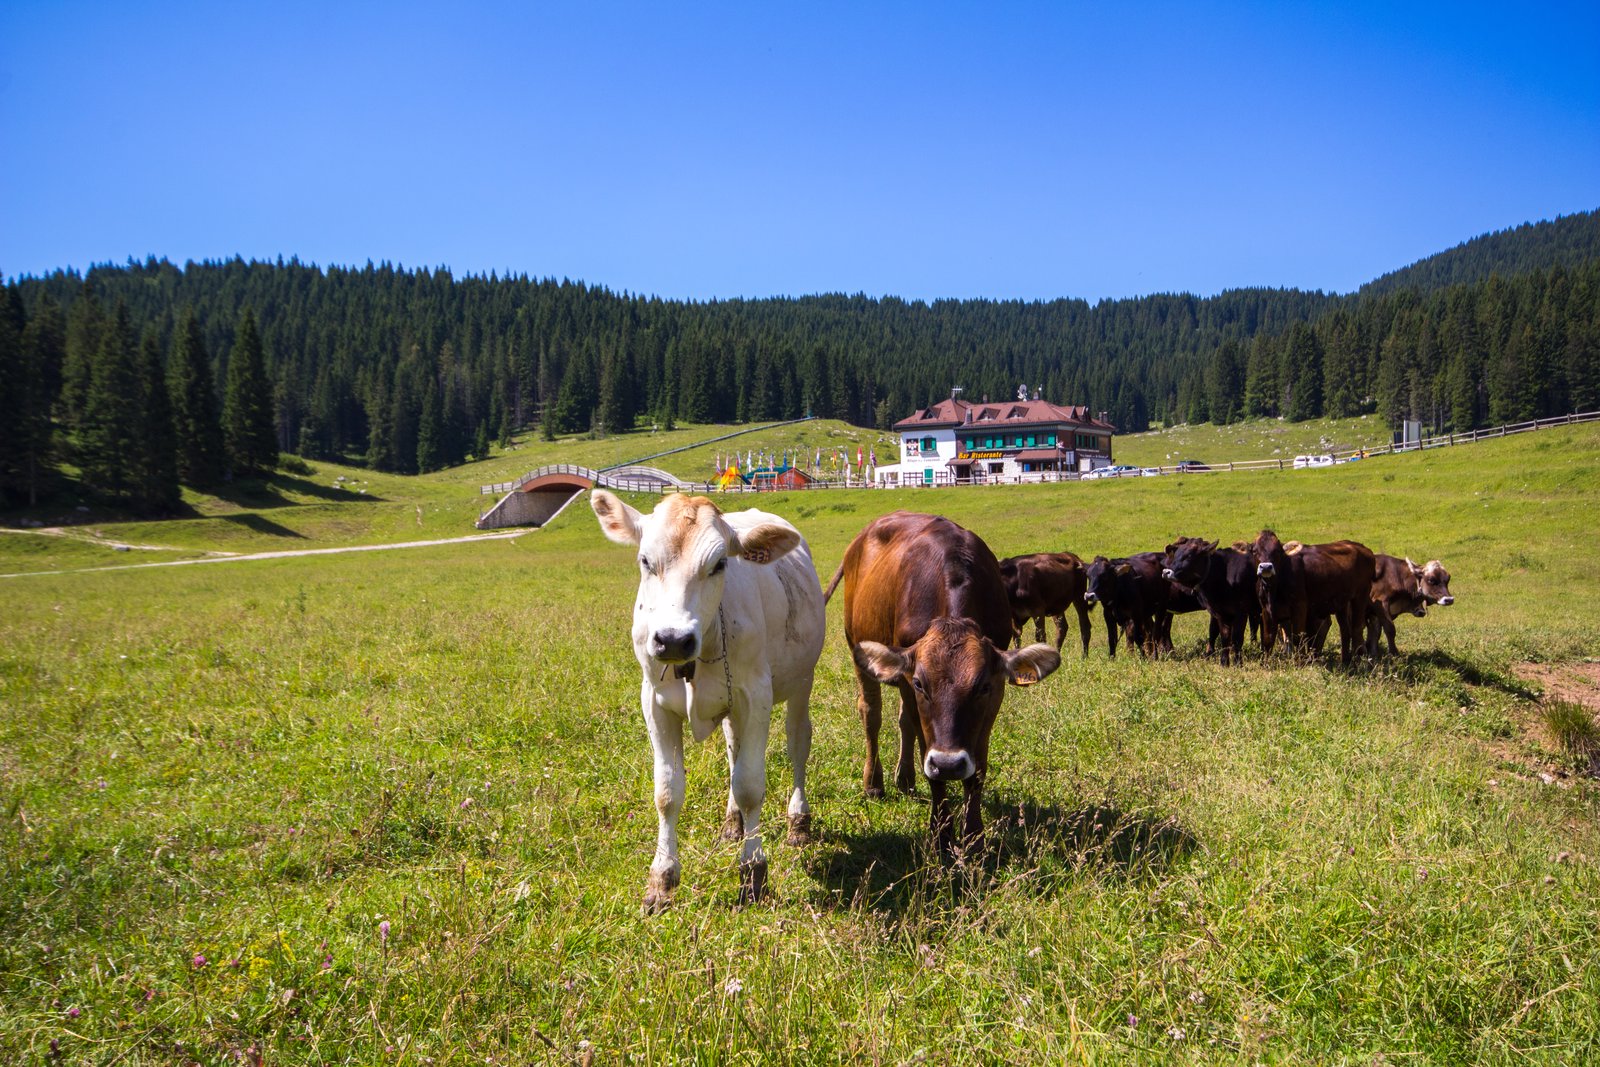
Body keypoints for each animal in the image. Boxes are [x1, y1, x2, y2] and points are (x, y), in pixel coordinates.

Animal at [595, 489, 832, 915]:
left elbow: (751, 784)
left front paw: (754, 873)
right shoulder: (654, 701)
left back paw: (798, 821)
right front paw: (662, 879)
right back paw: (732, 822)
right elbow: (667, 791)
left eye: (720, 563)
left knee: (797, 745)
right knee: (733, 750)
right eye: (645, 560)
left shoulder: (757, 696)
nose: (673, 639)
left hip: (801, 683)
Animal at [825, 511, 1062, 857]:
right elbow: (929, 761)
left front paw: (974, 836)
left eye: (982, 686)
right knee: (872, 714)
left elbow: (977, 768)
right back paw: (874, 783)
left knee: (903, 722)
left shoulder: (995, 695)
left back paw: (905, 778)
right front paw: (941, 835)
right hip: (858, 651)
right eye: (921, 683)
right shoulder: (910, 684)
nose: (949, 764)